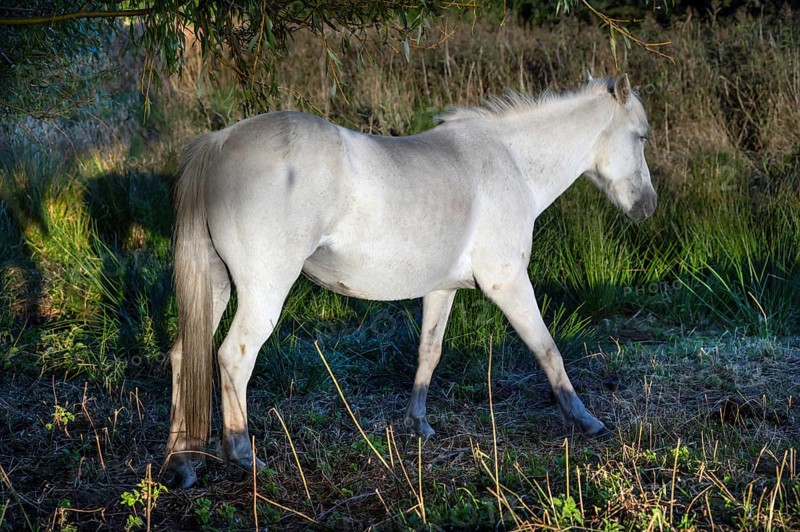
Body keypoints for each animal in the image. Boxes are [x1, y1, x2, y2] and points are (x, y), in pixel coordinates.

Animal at [166, 74, 657, 488]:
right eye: (641, 137)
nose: (647, 207)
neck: (510, 161)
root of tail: (220, 142)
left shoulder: (441, 289)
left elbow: (429, 353)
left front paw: (418, 423)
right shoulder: (509, 283)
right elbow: (547, 350)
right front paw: (587, 421)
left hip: (216, 287)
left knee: (183, 356)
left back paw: (181, 464)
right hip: (263, 292)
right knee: (233, 357)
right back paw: (243, 456)